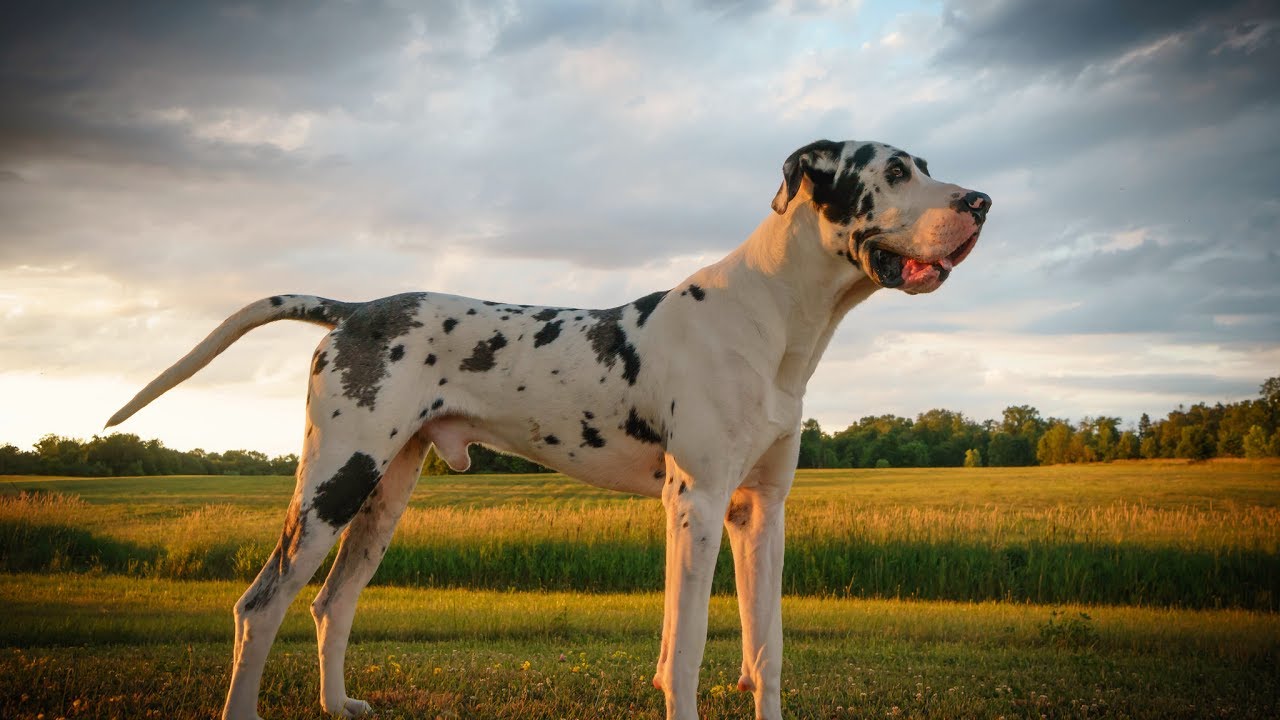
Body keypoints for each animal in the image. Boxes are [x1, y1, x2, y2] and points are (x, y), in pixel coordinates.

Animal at [110, 139, 988, 717]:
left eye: (927, 164)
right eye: (895, 171)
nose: (980, 202)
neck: (772, 318)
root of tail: (354, 309)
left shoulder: (761, 514)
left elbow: (765, 652)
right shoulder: (696, 506)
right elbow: (687, 651)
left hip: (384, 497)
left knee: (331, 603)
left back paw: (338, 704)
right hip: (336, 481)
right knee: (260, 605)